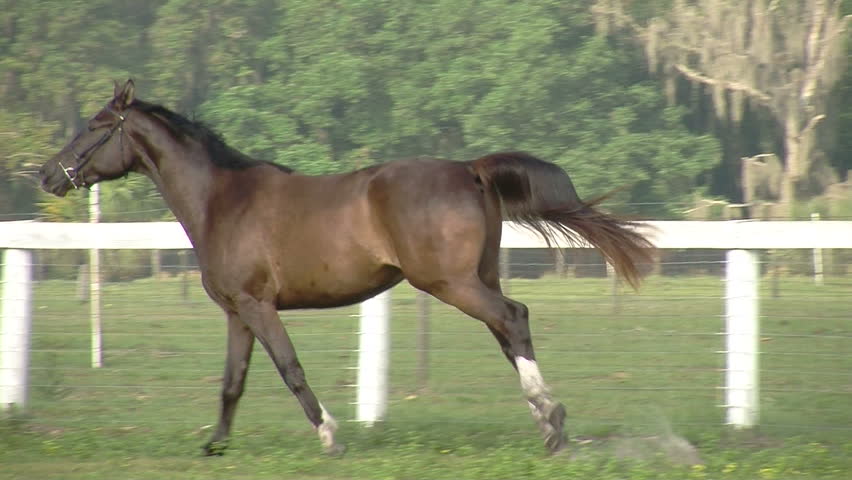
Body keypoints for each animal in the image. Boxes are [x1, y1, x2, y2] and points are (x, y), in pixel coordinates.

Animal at [39, 79, 654, 456]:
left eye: (95, 124)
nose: (47, 174)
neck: (221, 200)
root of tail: (469, 169)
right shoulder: (237, 312)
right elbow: (233, 382)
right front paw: (214, 446)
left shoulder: (260, 306)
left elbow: (290, 369)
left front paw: (331, 437)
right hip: (476, 277)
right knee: (509, 333)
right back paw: (546, 421)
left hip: (451, 283)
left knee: (514, 318)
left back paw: (552, 421)